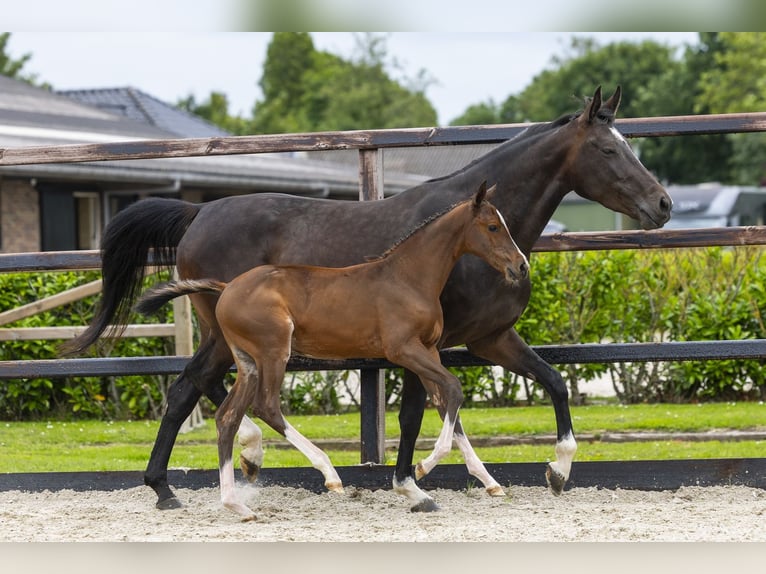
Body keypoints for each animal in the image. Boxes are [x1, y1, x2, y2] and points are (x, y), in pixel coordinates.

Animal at [135, 183, 529, 519]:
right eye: (493, 226)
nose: (521, 266)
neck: (407, 278)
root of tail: (226, 287)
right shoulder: (403, 350)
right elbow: (452, 389)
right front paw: (421, 469)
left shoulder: (429, 351)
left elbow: (446, 400)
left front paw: (474, 482)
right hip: (273, 352)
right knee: (266, 406)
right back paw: (328, 473)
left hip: (247, 362)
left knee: (228, 417)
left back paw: (237, 504)